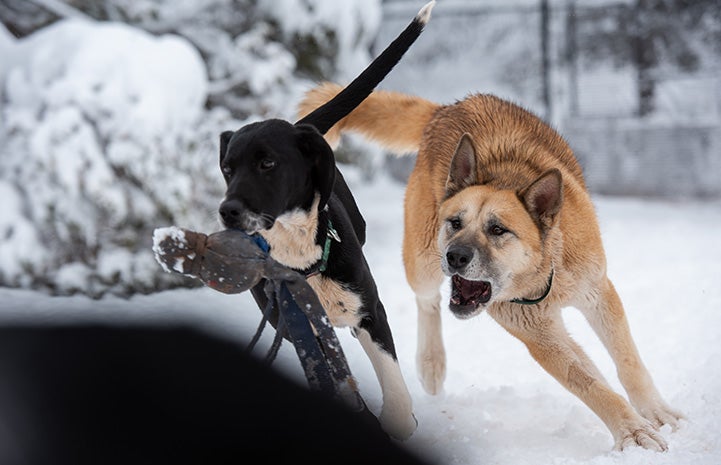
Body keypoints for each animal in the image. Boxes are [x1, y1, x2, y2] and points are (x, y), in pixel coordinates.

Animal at [215, 2, 434, 438]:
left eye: (267, 163)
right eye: (228, 168)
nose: (227, 211)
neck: (300, 255)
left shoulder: (370, 310)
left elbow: (394, 390)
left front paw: (397, 421)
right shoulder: (298, 327)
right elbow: (337, 382)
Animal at [296, 84, 680, 450]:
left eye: (498, 230)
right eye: (455, 222)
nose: (455, 257)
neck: (545, 271)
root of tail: (445, 110)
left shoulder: (597, 292)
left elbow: (627, 362)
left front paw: (653, 414)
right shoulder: (540, 336)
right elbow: (589, 384)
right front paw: (632, 432)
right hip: (422, 262)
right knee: (427, 301)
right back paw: (432, 363)